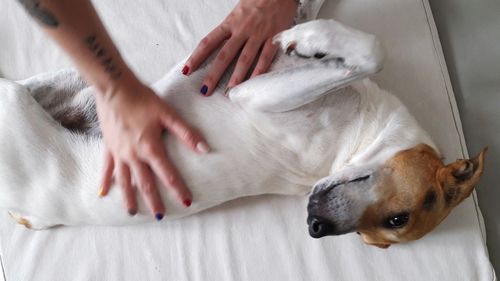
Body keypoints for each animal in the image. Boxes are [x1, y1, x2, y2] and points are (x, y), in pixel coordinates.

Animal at [0, 17, 484, 247]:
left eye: (392, 224)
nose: (315, 227)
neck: (363, 130)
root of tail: (27, 214)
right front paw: (311, 37)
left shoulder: (250, 95)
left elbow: (371, 51)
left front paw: (312, 37)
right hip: (75, 79)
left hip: (17, 104)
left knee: (16, 87)